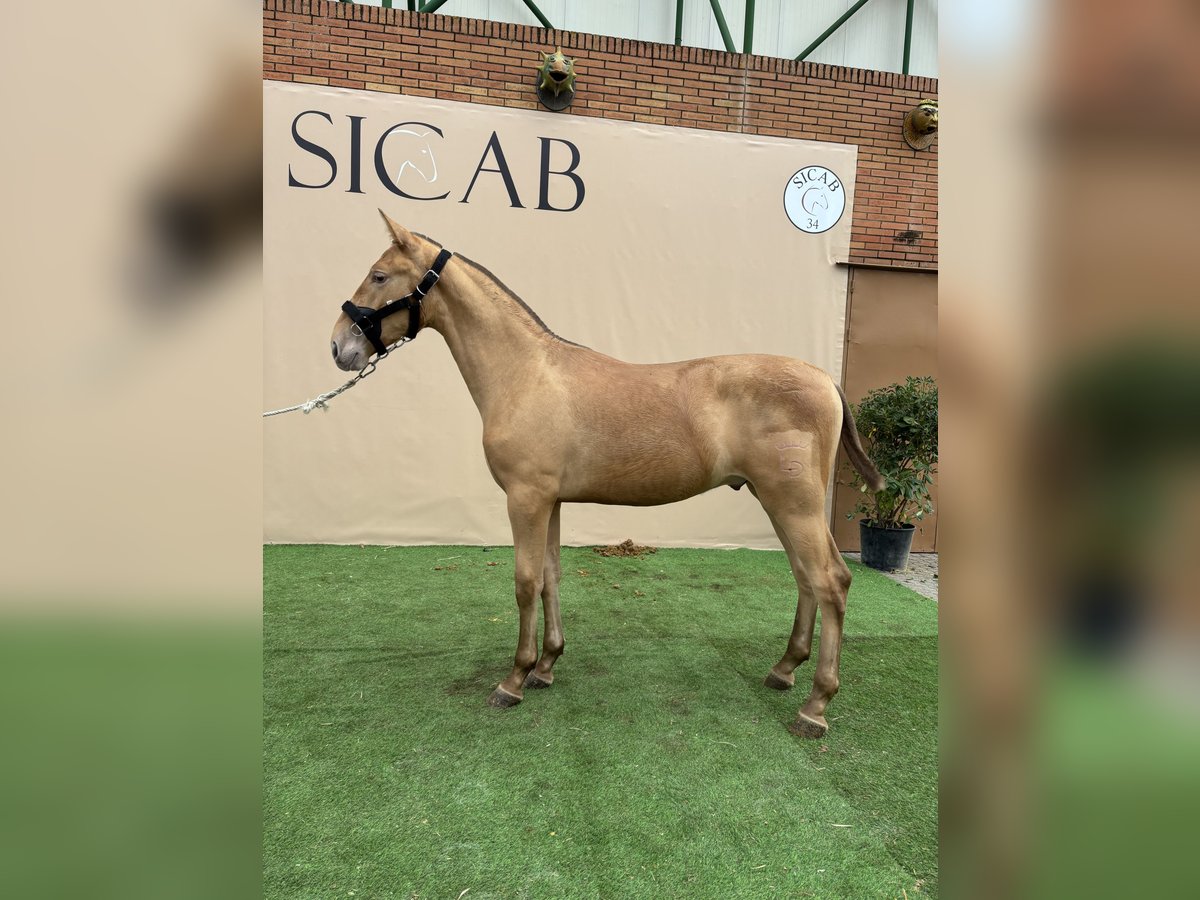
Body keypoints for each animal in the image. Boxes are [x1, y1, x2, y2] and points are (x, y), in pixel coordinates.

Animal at [326, 211, 883, 739]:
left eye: (379, 276)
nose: (337, 348)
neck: (525, 373)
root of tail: (825, 380)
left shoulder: (525, 498)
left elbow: (525, 581)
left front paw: (514, 679)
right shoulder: (548, 501)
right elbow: (550, 576)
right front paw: (546, 666)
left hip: (793, 502)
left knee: (829, 581)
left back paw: (815, 707)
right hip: (779, 501)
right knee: (807, 577)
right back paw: (784, 669)